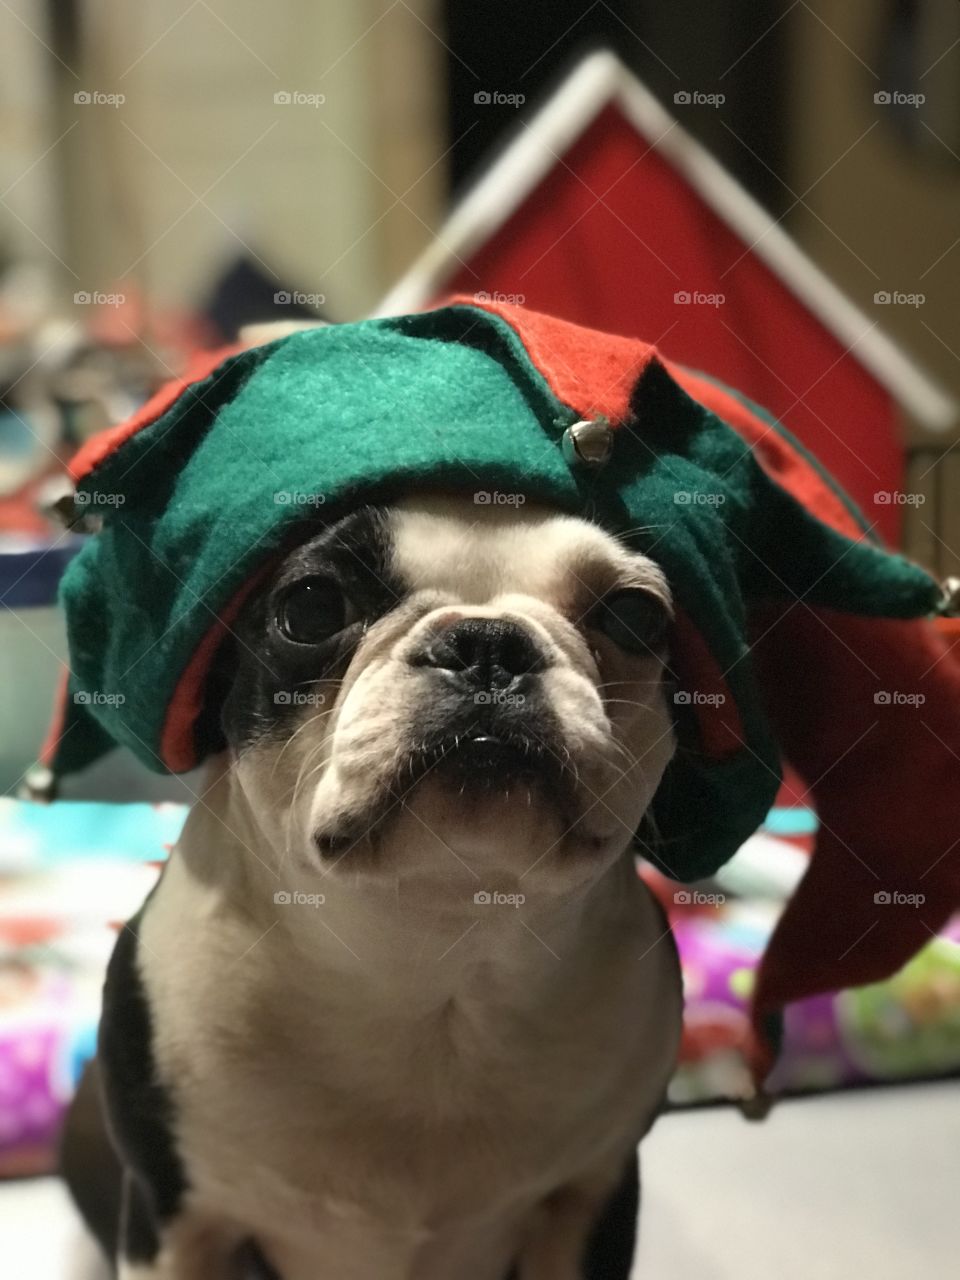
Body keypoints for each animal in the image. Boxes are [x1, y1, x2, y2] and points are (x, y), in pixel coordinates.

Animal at [62, 494, 686, 1280]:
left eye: (634, 616)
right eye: (311, 606)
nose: (489, 643)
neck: (432, 954)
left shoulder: (588, 1199)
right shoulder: (177, 1218)